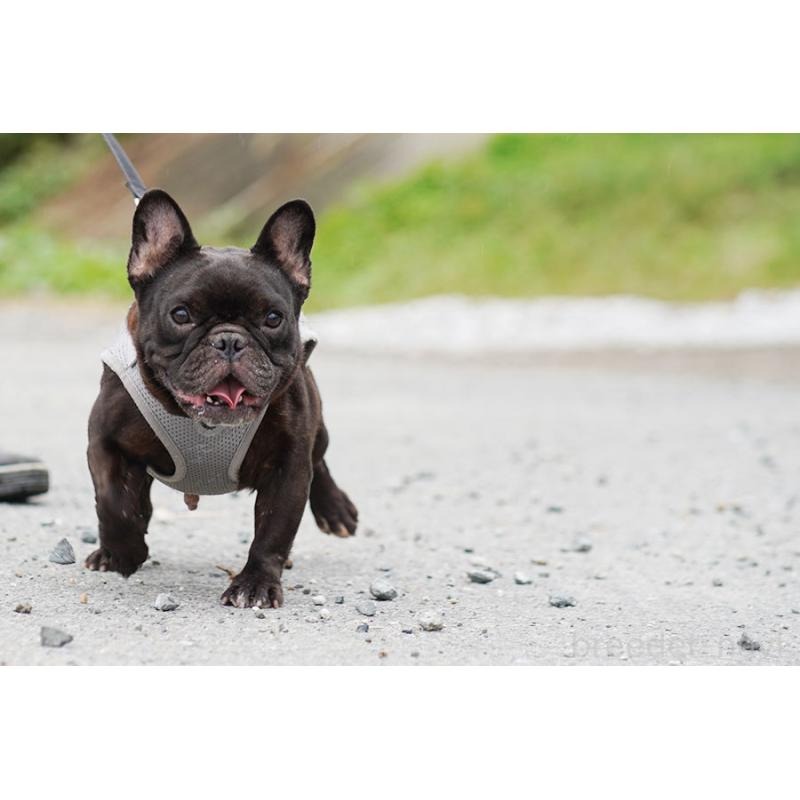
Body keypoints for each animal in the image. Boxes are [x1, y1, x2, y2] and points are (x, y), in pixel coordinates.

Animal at [86, 189, 357, 608]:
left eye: (273, 318)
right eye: (181, 315)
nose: (229, 340)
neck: (202, 423)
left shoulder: (289, 466)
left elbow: (273, 530)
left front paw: (255, 584)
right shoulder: (104, 442)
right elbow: (114, 501)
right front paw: (125, 551)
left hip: (318, 431)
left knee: (320, 460)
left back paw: (336, 511)